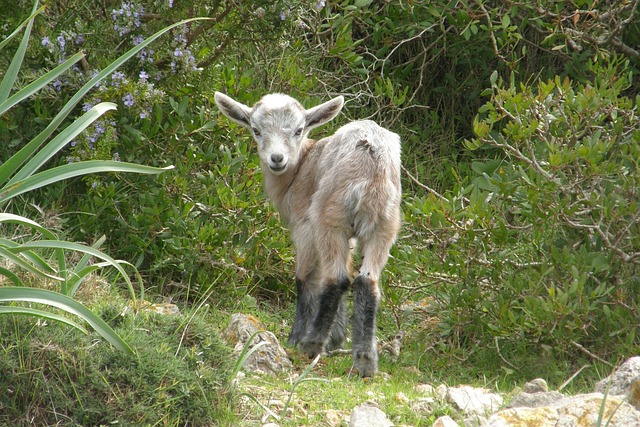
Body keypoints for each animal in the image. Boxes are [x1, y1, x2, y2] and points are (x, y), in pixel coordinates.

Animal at [218, 92, 402, 376]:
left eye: (298, 130)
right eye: (256, 130)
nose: (277, 159)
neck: (301, 167)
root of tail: (371, 167)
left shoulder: (304, 226)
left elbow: (305, 278)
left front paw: (296, 337)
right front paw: (337, 338)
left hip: (329, 217)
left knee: (336, 279)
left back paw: (311, 344)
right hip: (385, 223)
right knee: (366, 281)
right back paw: (365, 360)